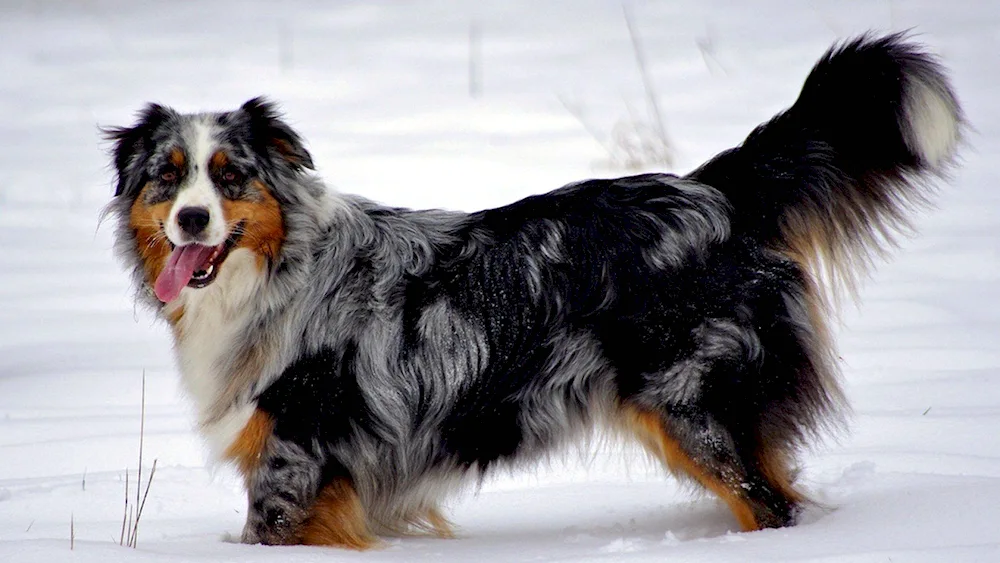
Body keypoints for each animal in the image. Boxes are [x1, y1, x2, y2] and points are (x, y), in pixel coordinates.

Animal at [101, 33, 960, 548]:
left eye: (230, 175)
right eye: (167, 176)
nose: (190, 219)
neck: (280, 273)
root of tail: (712, 188)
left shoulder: (293, 462)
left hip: (697, 404)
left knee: (770, 504)